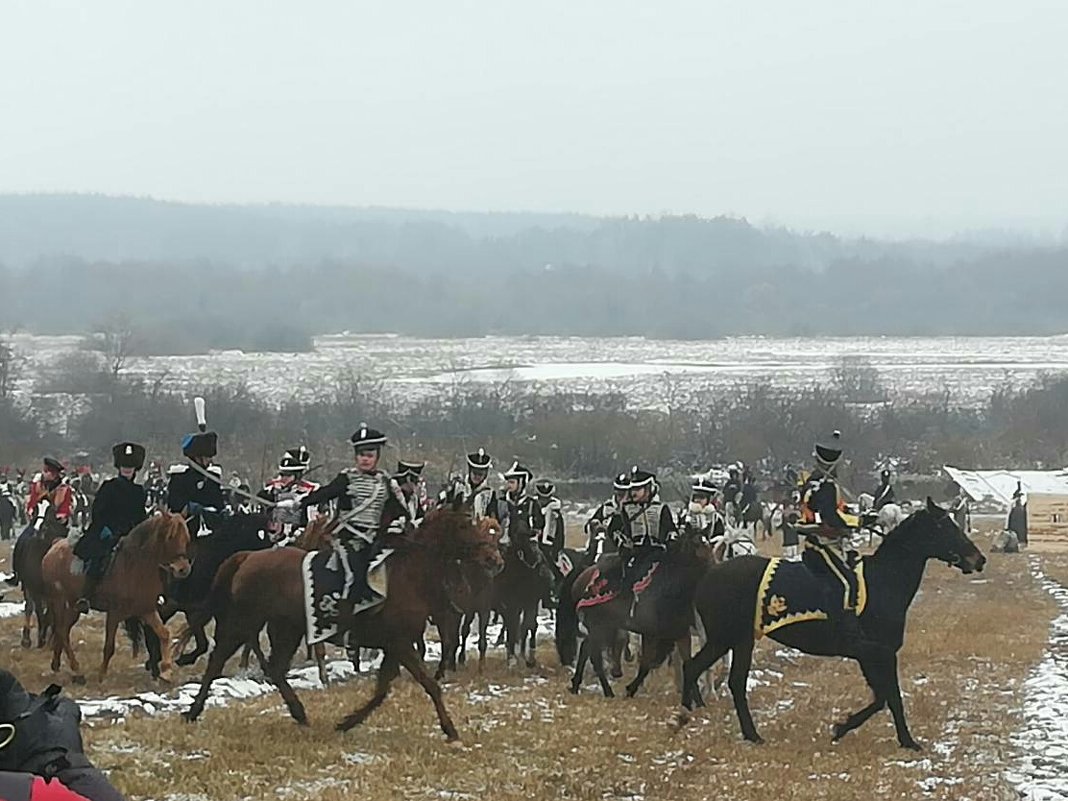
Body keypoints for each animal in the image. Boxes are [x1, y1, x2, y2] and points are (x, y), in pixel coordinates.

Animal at [41, 510, 193, 687]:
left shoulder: (147, 610)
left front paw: (167, 672)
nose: (183, 569)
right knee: (61, 631)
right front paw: (102, 676)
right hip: (59, 600)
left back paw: (58, 665)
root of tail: (54, 547)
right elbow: (109, 646)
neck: (136, 565)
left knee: (63, 630)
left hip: (73, 607)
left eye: (186, 538)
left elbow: (164, 634)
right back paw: (77, 671)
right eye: (170, 537)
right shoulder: (114, 613)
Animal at [182, 504, 499, 743]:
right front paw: (450, 729)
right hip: (246, 620)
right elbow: (429, 684)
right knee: (218, 659)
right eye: (464, 526)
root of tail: (249, 557)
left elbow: (382, 690)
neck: (408, 574)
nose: (493, 559)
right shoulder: (400, 644)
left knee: (275, 668)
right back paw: (194, 711)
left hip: (286, 628)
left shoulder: (395, 646)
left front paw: (347, 722)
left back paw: (299, 713)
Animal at [679, 499, 986, 756]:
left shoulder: (870, 655)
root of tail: (709, 575)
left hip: (736, 640)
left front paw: (846, 728)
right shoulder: (878, 653)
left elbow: (882, 697)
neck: (882, 582)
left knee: (718, 676)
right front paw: (903, 740)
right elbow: (889, 697)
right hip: (727, 639)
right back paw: (693, 717)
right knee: (703, 670)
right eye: (945, 527)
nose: (978, 559)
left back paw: (732, 728)